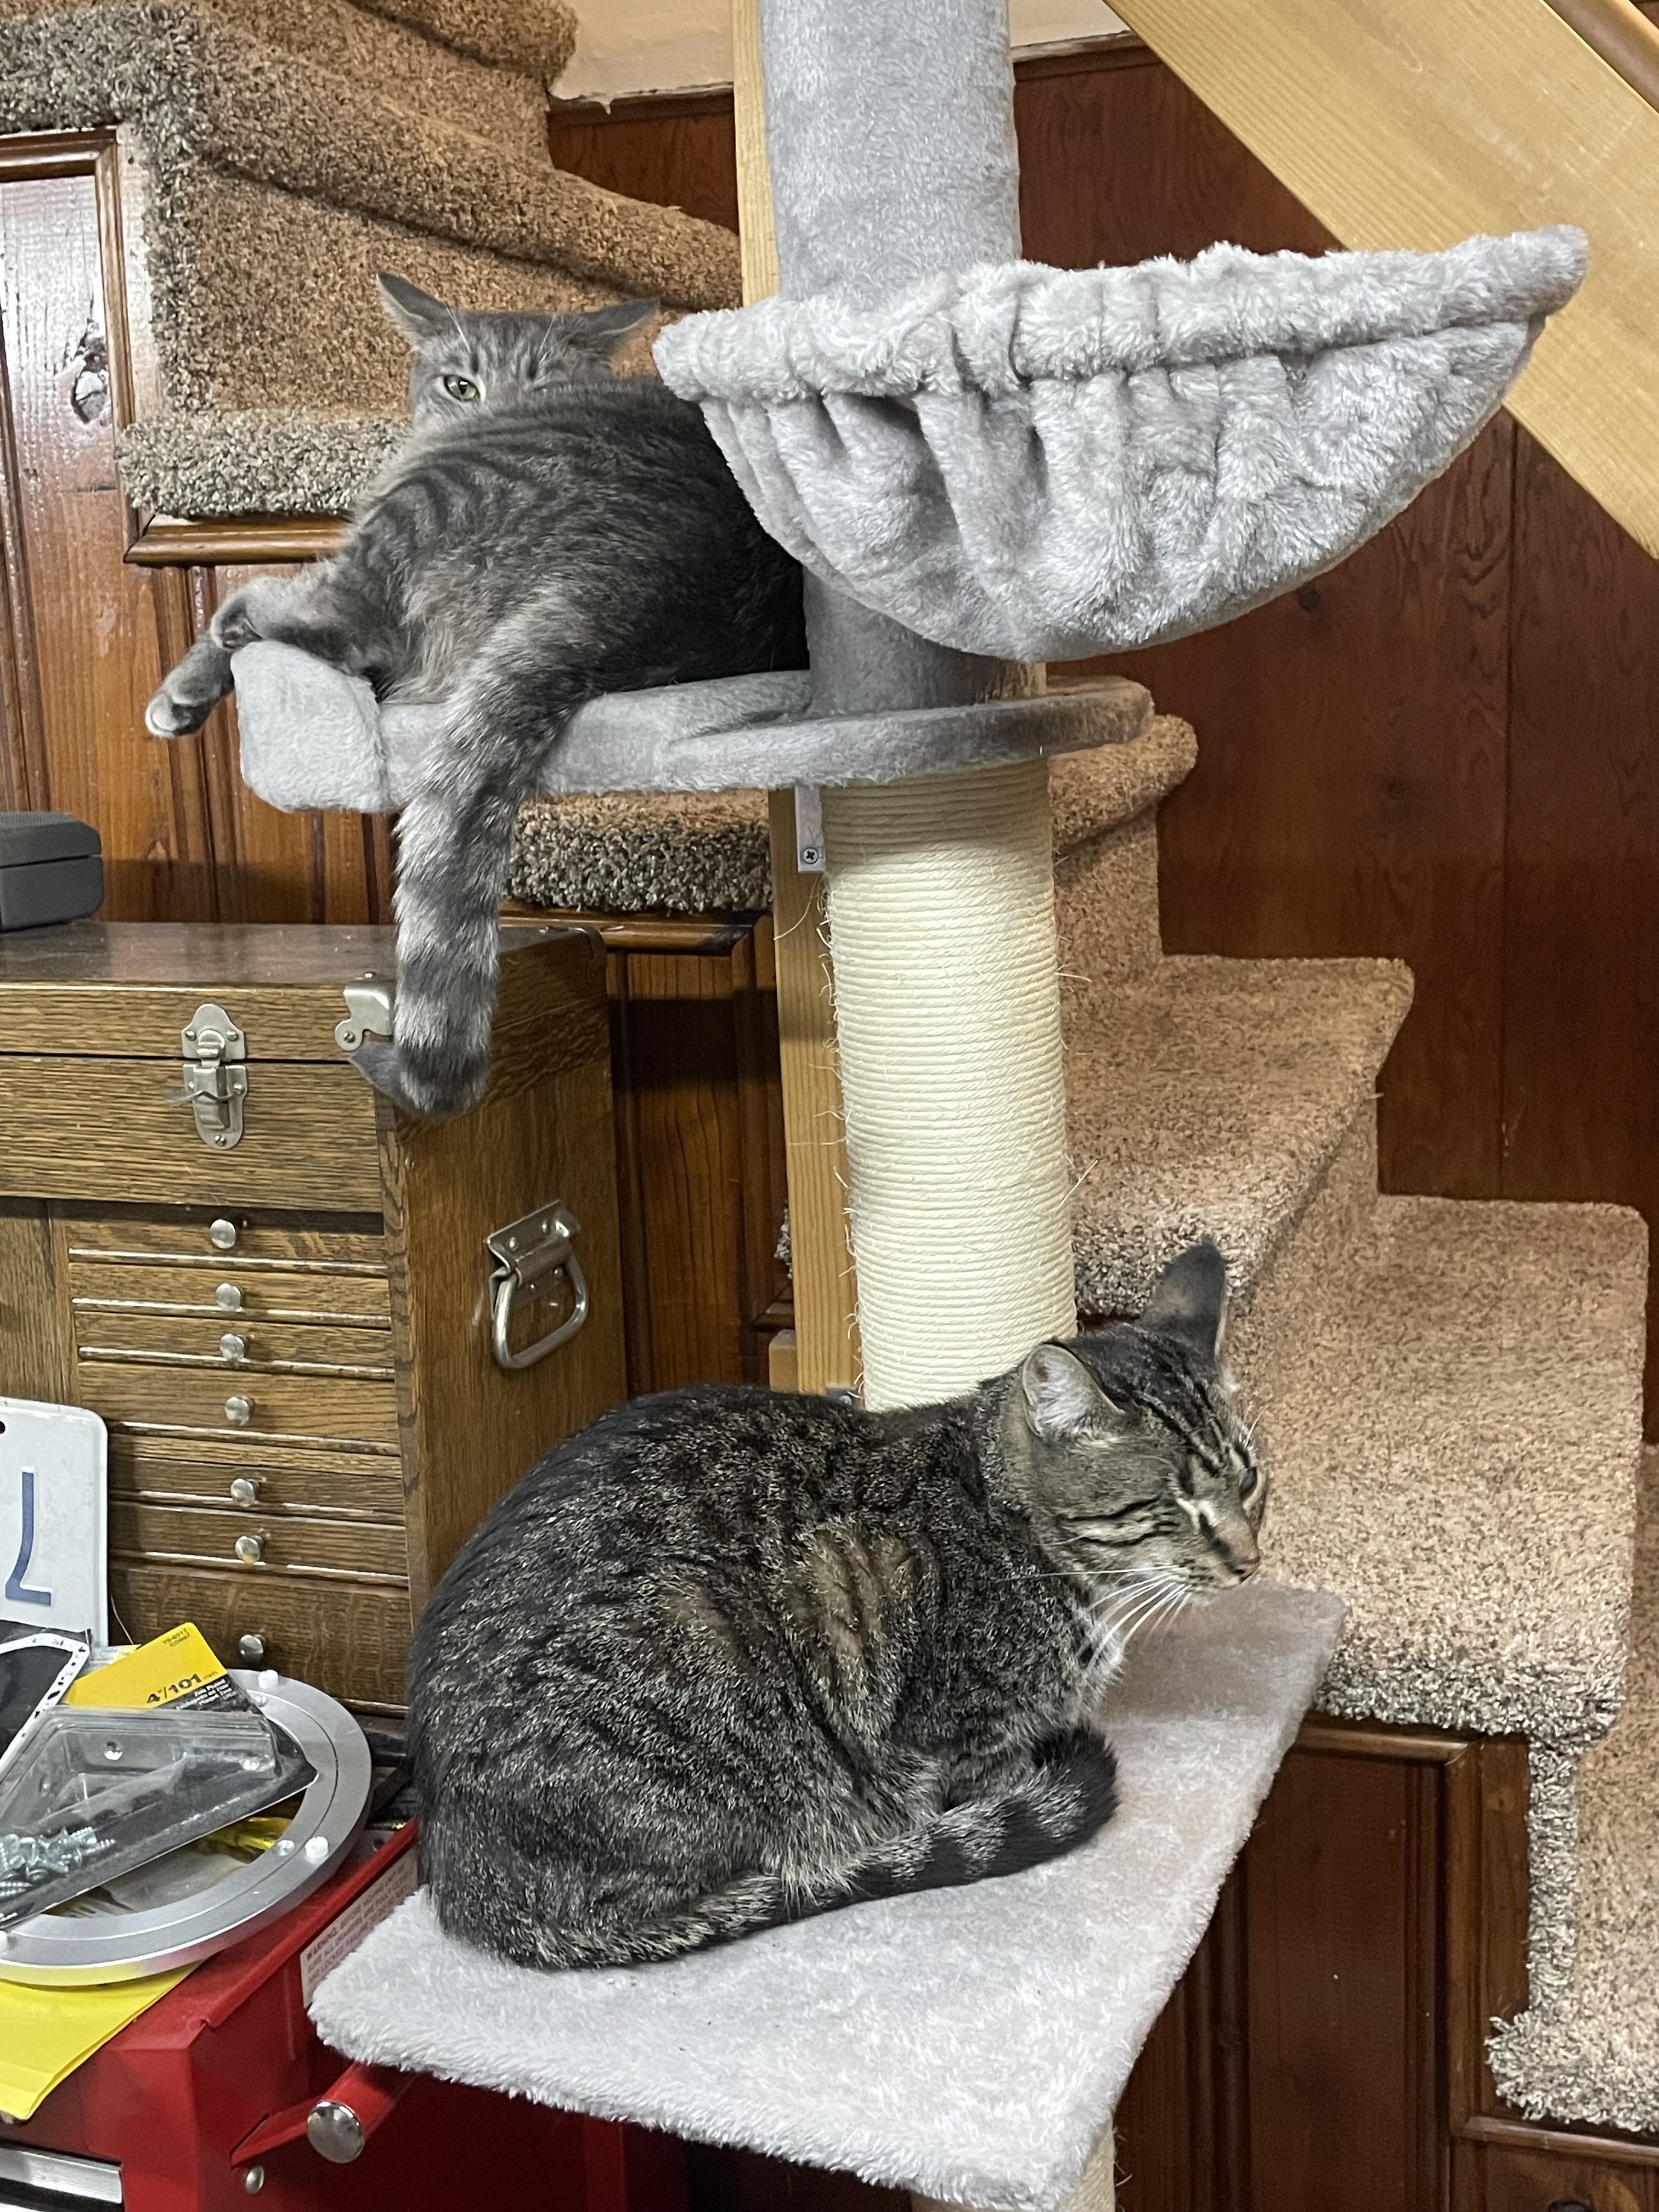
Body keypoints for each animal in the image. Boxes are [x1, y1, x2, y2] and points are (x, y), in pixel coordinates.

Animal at [146, 279, 809, 1124]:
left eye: (543, 379)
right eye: (459, 383)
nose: (485, 406)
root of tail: (644, 588)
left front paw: (187, 683)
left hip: (429, 505)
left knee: (335, 617)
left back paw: (240, 615)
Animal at [413, 1248, 1256, 1973]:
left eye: (1250, 1486)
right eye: (1175, 1506)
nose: (1250, 1562)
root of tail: (453, 1873)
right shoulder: (966, 1735)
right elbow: (993, 1772)